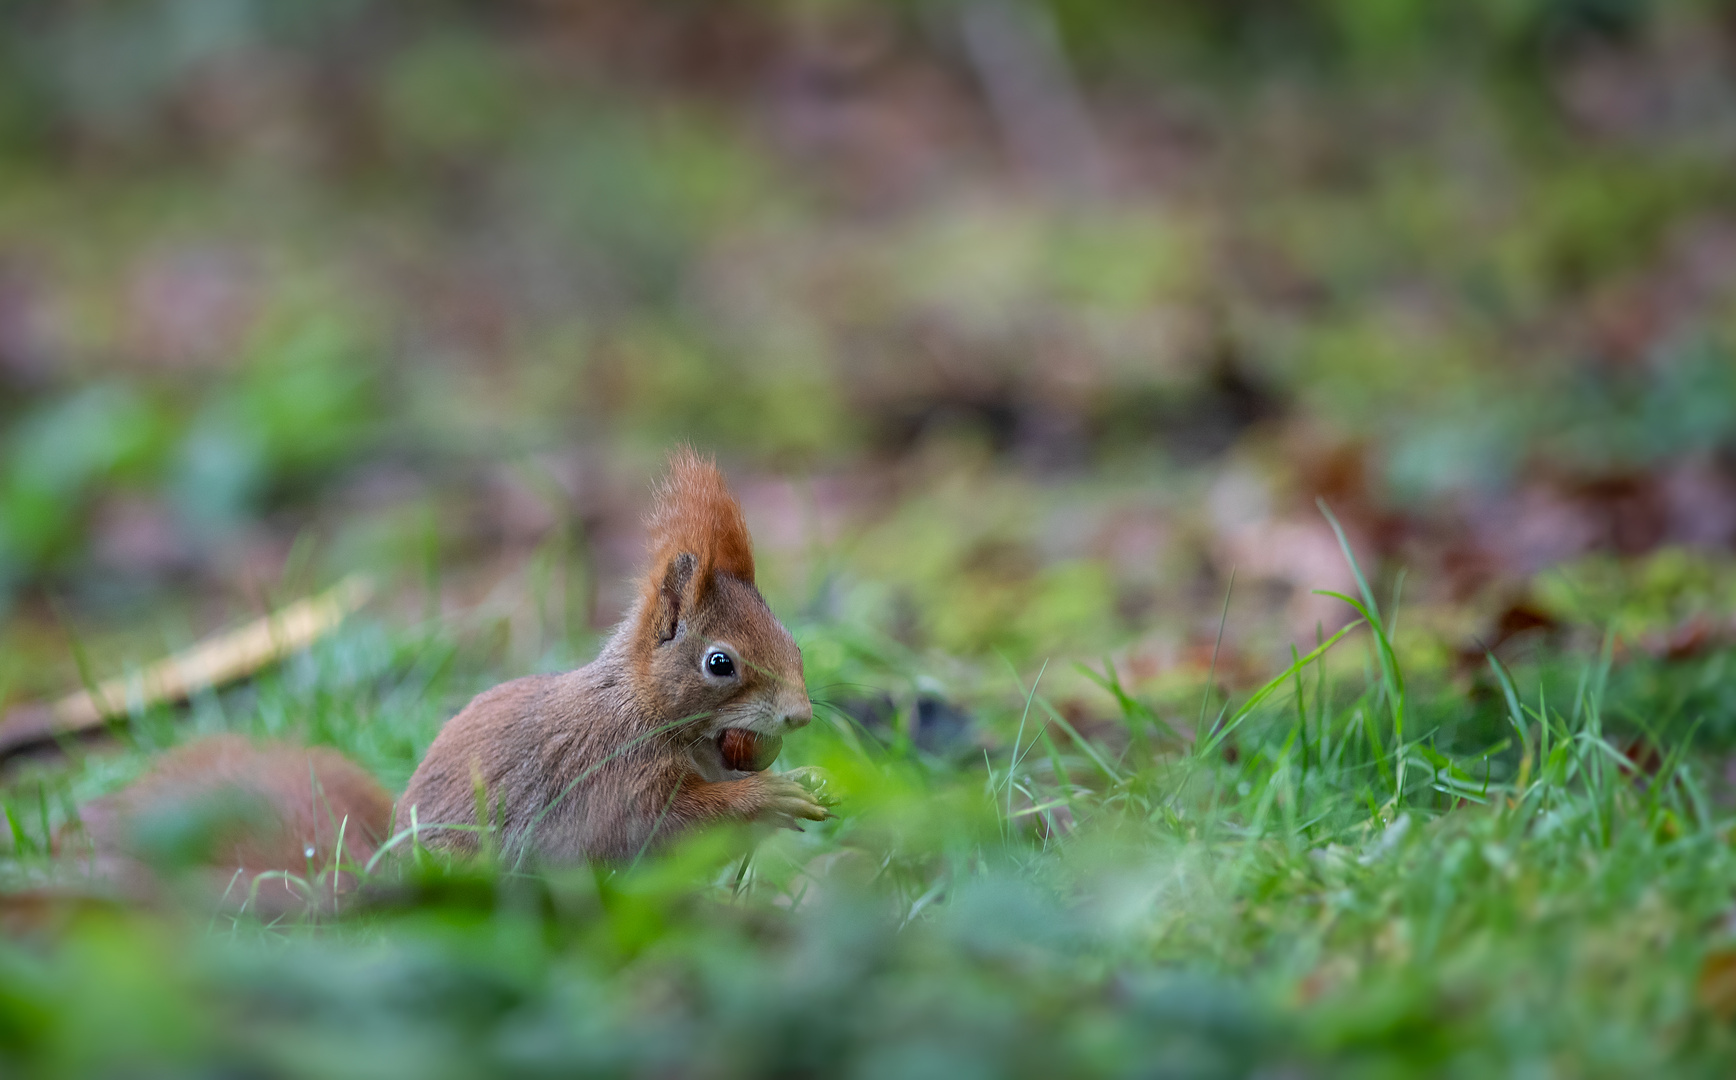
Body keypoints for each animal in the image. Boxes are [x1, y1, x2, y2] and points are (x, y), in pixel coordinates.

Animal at [67, 447, 826, 902]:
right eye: (719, 663)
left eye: (791, 637)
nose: (801, 716)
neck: (640, 711)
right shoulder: (612, 781)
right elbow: (662, 823)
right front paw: (772, 794)